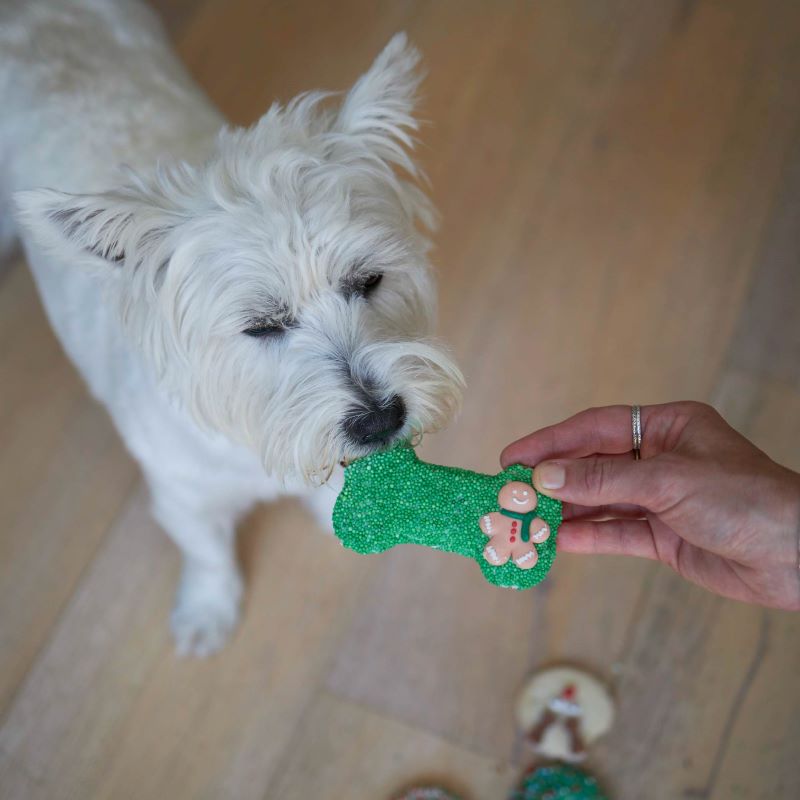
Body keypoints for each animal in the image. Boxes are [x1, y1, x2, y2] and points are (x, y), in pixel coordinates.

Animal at [1, 1, 462, 656]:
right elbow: (209, 554)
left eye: (369, 279)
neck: (255, 429)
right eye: (262, 325)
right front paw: (207, 612)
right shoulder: (183, 496)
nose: (380, 421)